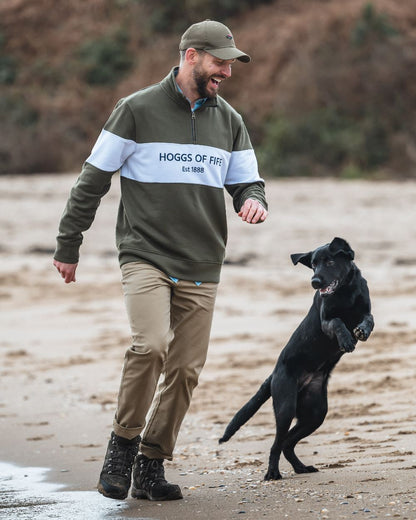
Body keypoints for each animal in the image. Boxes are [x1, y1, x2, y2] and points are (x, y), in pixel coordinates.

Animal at [219, 238, 376, 482]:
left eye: (330, 261)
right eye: (313, 265)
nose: (314, 282)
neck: (345, 291)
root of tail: (274, 374)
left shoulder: (366, 311)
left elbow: (369, 320)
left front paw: (361, 332)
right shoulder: (326, 321)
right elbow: (338, 322)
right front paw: (346, 340)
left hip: (315, 413)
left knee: (287, 443)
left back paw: (301, 467)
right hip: (286, 406)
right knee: (277, 443)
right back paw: (272, 472)